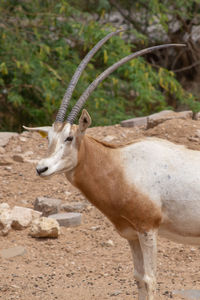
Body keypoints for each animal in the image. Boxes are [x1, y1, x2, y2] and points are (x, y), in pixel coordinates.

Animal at [22, 31, 198, 300]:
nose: (42, 168)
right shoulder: (131, 234)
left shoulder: (148, 229)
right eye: (49, 138)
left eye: (69, 137)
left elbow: (150, 279)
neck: (121, 165)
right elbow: (139, 278)